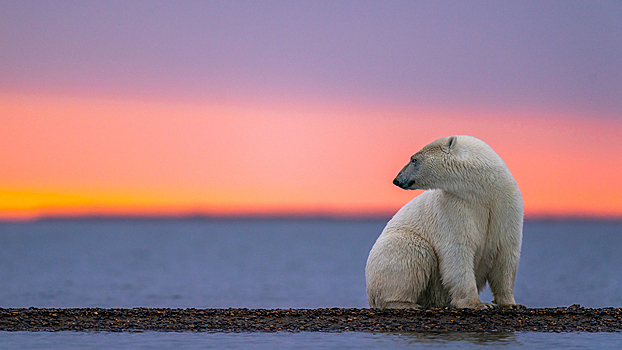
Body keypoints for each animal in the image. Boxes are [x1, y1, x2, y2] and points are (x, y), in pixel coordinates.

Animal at [368, 135, 524, 308]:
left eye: (414, 159)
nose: (397, 179)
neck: (483, 192)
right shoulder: (453, 207)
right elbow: (458, 251)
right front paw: (478, 304)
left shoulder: (505, 207)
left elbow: (505, 254)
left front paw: (511, 303)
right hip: (395, 247)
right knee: (413, 252)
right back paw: (404, 303)